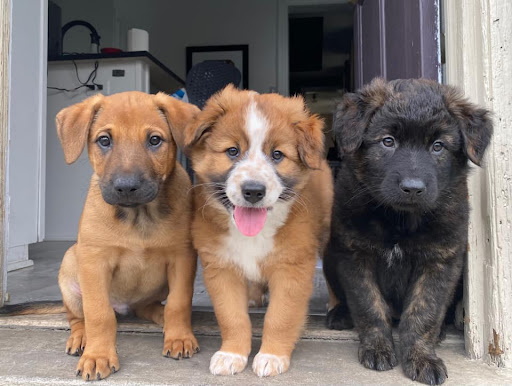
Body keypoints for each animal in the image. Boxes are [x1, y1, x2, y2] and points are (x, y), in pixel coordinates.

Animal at [56, 90, 199, 380]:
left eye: (154, 140)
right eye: (104, 140)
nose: (126, 187)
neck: (138, 217)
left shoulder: (182, 257)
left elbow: (179, 303)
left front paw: (179, 337)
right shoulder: (94, 261)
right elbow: (98, 314)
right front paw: (98, 355)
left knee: (148, 306)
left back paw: (161, 316)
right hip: (70, 266)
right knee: (78, 317)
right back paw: (80, 338)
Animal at [178, 85, 334, 376]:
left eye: (277, 155)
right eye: (232, 151)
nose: (253, 191)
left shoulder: (292, 268)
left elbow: (280, 316)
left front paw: (272, 355)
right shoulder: (221, 267)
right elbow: (232, 317)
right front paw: (232, 354)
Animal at [324, 77, 492, 384]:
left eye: (438, 146)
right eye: (388, 141)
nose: (413, 188)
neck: (400, 219)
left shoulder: (441, 260)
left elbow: (424, 311)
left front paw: (421, 357)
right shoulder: (354, 254)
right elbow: (368, 304)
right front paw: (378, 348)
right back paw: (340, 314)